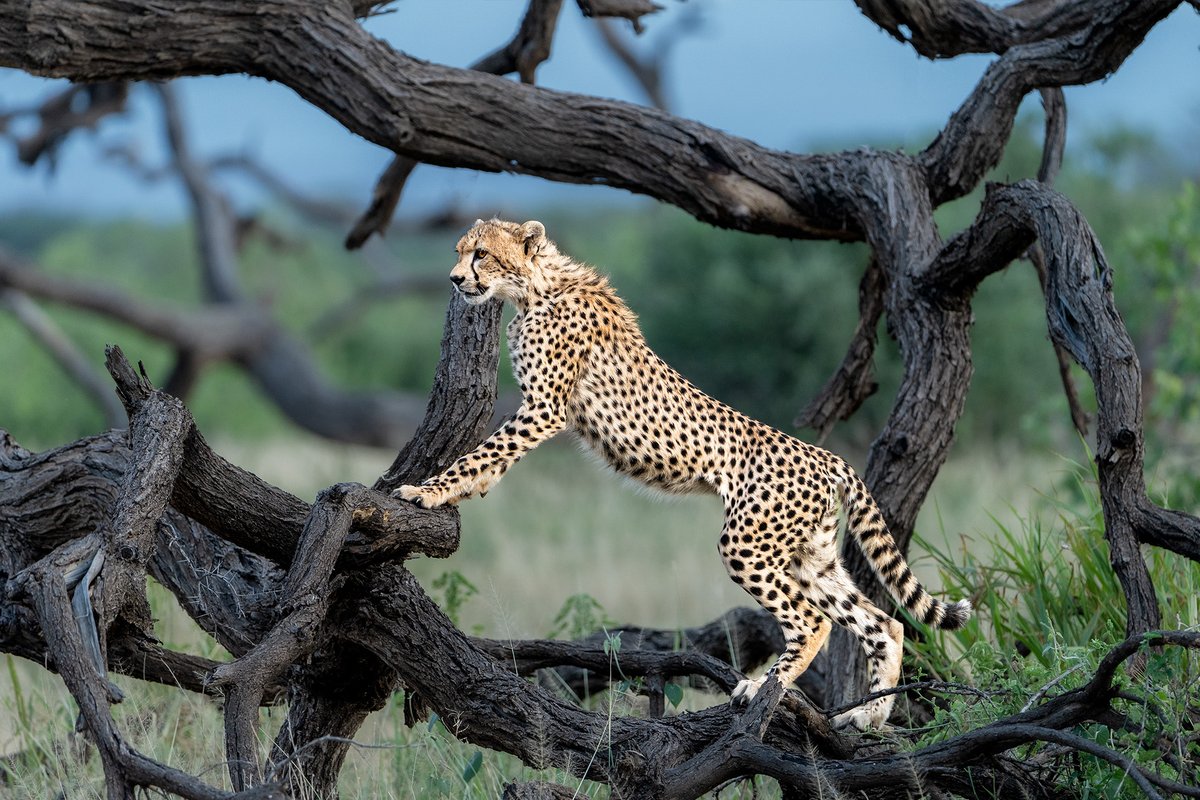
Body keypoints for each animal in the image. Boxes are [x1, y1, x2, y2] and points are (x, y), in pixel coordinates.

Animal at [398, 219, 969, 734]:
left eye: (481, 254)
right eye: (459, 251)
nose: (454, 278)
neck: (534, 287)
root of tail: (827, 455)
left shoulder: (544, 408)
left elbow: (484, 451)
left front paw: (428, 491)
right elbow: (491, 457)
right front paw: (462, 488)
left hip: (748, 542)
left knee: (812, 621)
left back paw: (762, 687)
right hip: (812, 555)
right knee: (882, 621)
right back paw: (869, 715)